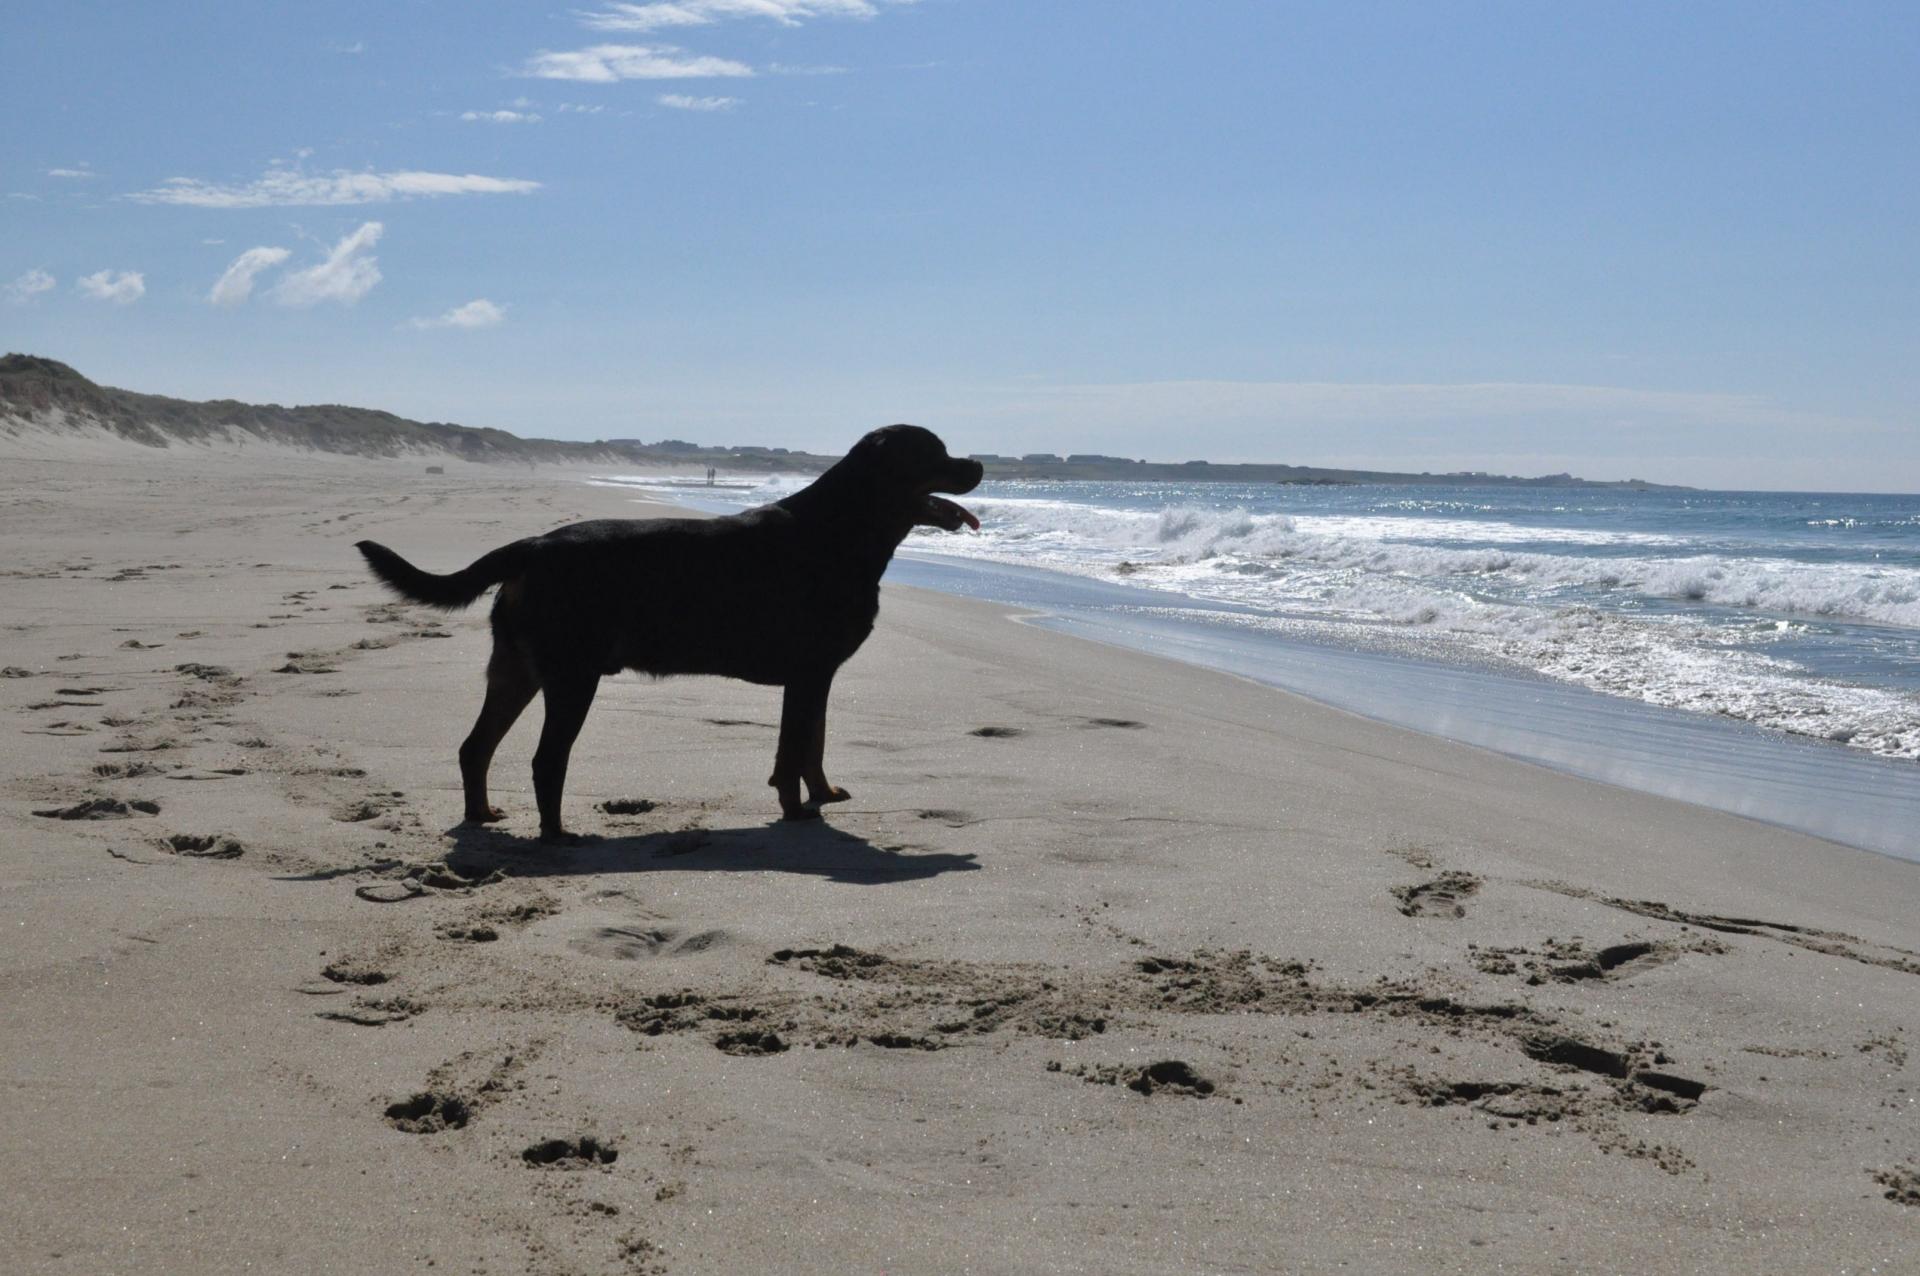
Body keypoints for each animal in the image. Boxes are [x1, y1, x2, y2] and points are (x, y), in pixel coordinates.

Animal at [355, 424, 983, 842]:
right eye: (934, 452)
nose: (979, 464)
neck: (846, 526)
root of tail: (531, 545)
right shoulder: (807, 673)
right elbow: (794, 748)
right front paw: (795, 810)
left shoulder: (818, 674)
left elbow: (815, 744)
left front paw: (822, 795)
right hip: (572, 675)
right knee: (545, 759)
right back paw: (558, 838)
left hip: (515, 668)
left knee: (475, 747)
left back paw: (481, 817)